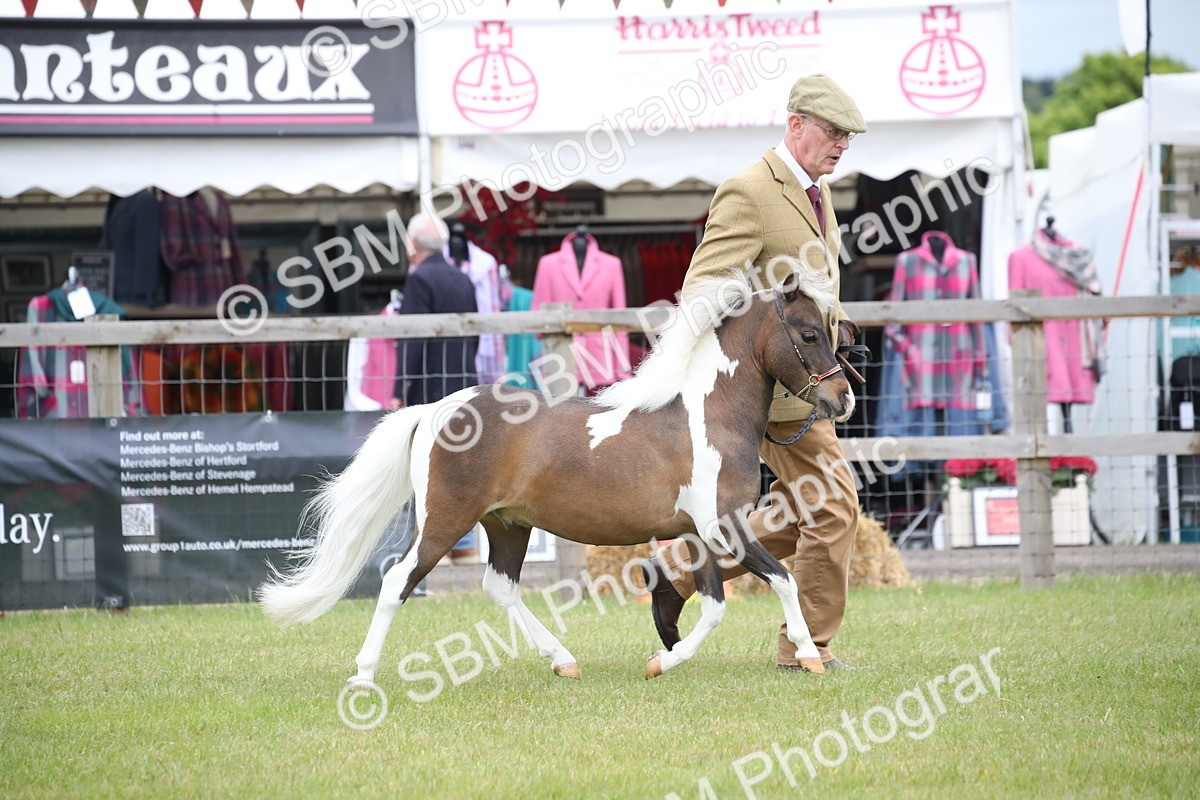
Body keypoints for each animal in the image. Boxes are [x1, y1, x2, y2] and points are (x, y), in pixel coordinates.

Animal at [258, 267, 855, 684]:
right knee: (397, 580)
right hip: (445, 521)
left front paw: (660, 662)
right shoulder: (723, 526)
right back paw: (363, 675)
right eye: (807, 334)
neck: (710, 414)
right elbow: (783, 578)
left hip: (506, 524)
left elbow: (712, 608)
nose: (843, 398)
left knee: (499, 586)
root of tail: (435, 409)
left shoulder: (699, 534)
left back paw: (562, 660)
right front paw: (808, 655)